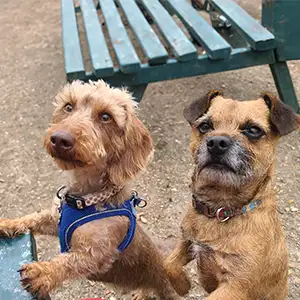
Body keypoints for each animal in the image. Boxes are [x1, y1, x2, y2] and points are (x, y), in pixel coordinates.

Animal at [0, 80, 178, 300]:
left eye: (106, 116)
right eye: (68, 106)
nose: (60, 139)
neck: (85, 199)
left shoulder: (97, 254)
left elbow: (70, 261)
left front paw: (44, 272)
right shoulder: (55, 220)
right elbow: (34, 218)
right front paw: (9, 223)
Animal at [164, 90, 300, 298]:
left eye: (253, 130)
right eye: (205, 126)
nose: (216, 143)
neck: (219, 210)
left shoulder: (234, 287)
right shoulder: (187, 242)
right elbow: (168, 264)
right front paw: (183, 285)